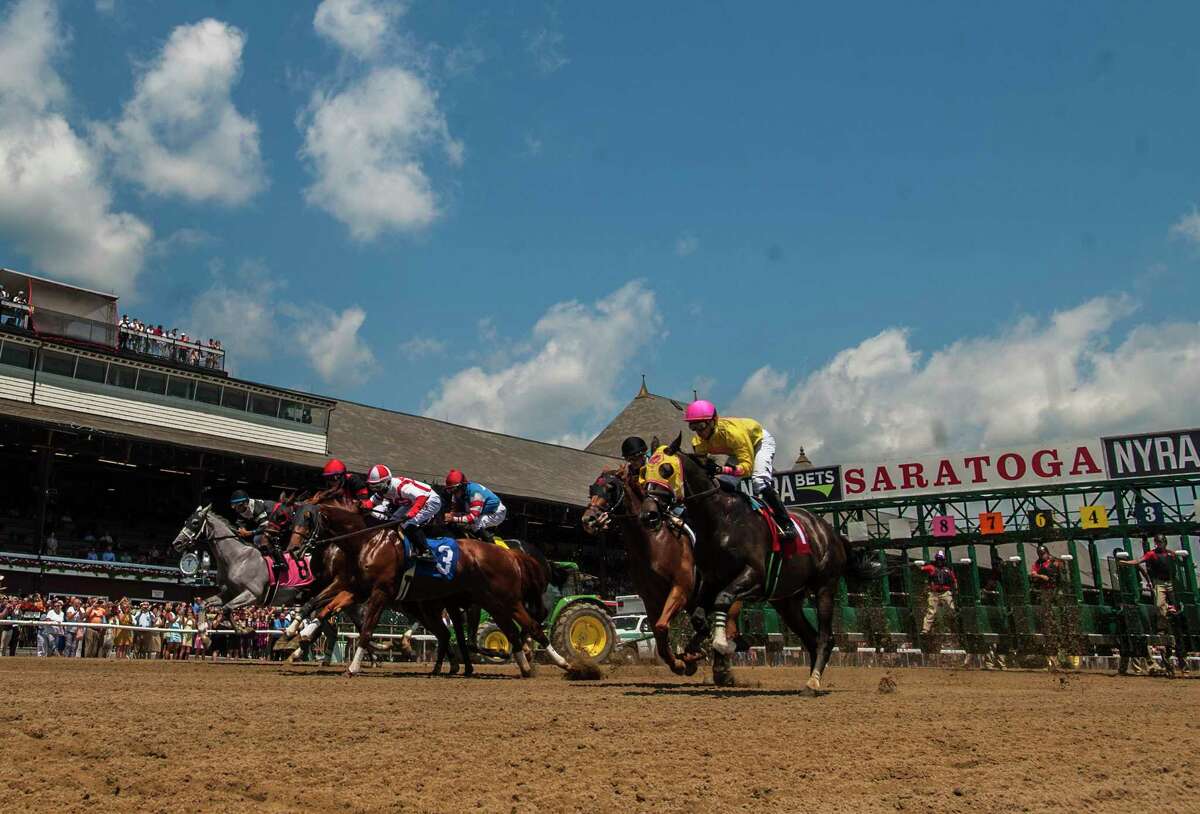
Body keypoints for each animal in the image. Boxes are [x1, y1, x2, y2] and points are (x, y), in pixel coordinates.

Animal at [285, 501, 566, 677]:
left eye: (308, 520)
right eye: (291, 518)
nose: (292, 550)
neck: (368, 540)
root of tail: (512, 555)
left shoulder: (379, 592)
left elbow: (364, 629)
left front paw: (352, 667)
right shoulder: (355, 589)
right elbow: (321, 607)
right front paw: (296, 631)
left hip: (505, 601)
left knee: (532, 627)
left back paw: (565, 663)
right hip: (491, 604)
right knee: (509, 632)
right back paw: (522, 667)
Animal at [638, 437, 873, 691]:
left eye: (666, 469)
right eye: (644, 472)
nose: (648, 516)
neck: (721, 519)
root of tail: (833, 534)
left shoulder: (754, 575)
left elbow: (723, 600)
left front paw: (723, 644)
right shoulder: (711, 579)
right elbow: (700, 617)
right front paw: (693, 653)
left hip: (825, 588)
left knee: (825, 637)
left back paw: (813, 682)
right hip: (787, 601)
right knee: (810, 638)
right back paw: (812, 678)